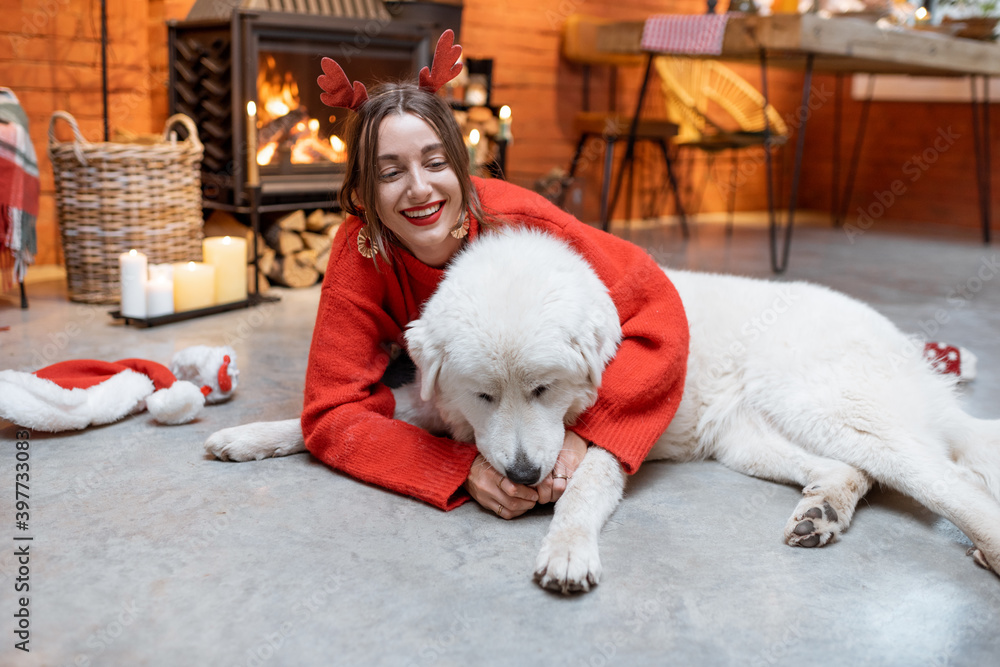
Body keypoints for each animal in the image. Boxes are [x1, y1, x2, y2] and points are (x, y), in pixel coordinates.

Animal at [205, 230, 1000, 596]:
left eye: (544, 389)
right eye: (484, 393)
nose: (526, 474)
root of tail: (907, 345)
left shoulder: (607, 446)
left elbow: (582, 491)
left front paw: (566, 550)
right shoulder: (449, 414)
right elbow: (338, 420)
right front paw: (244, 436)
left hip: (819, 402)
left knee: (944, 477)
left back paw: (984, 541)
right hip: (749, 438)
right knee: (852, 472)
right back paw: (822, 513)